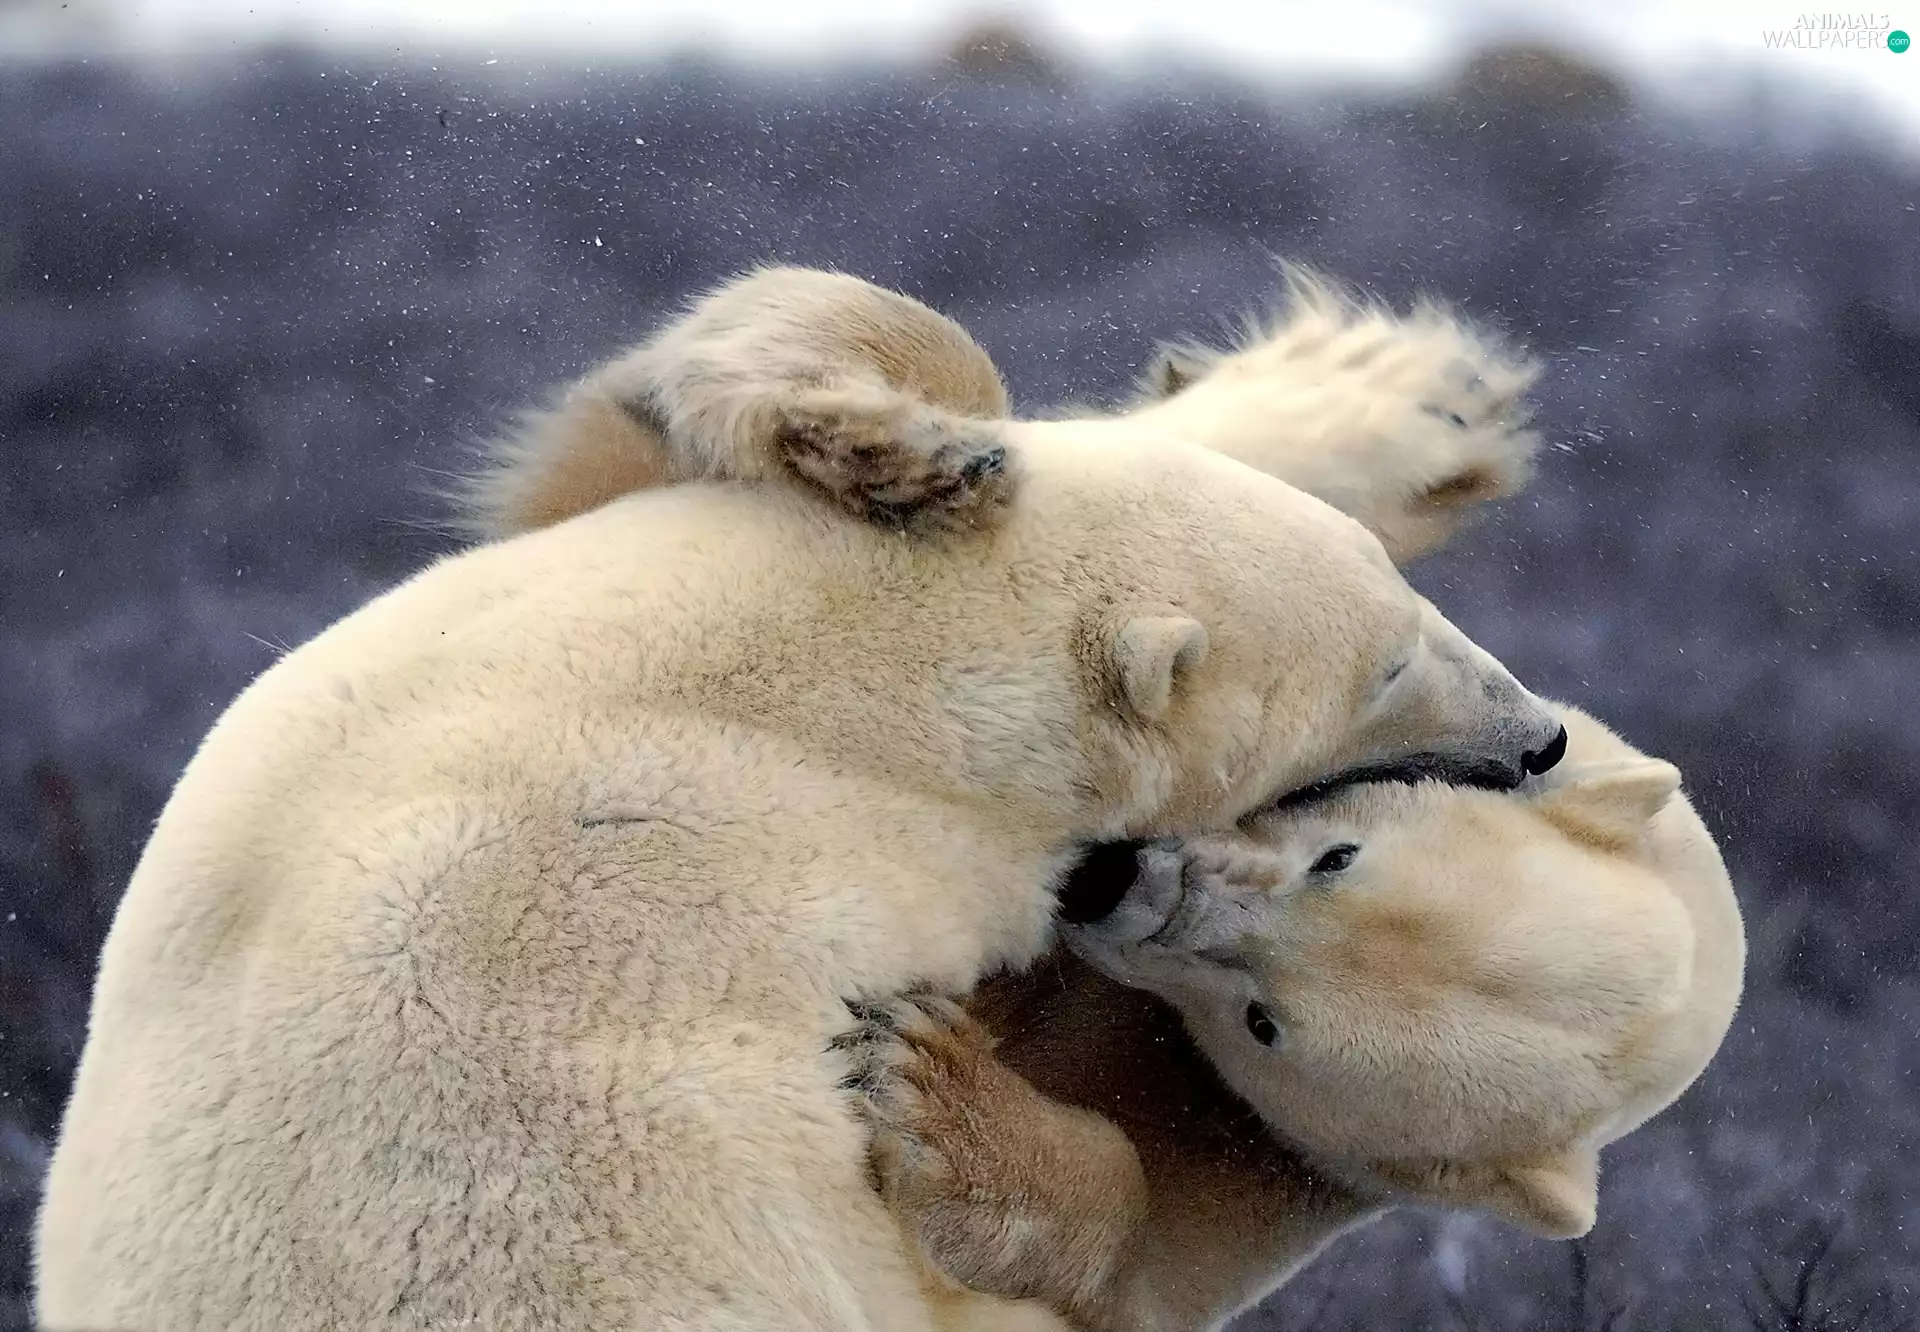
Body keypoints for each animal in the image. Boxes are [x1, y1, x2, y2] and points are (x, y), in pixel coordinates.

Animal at [850, 702, 1745, 1332]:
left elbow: (1148, 1272)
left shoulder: (1288, 1165)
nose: (1112, 881)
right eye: (1336, 858)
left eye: (1263, 1025)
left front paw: (929, 1083)